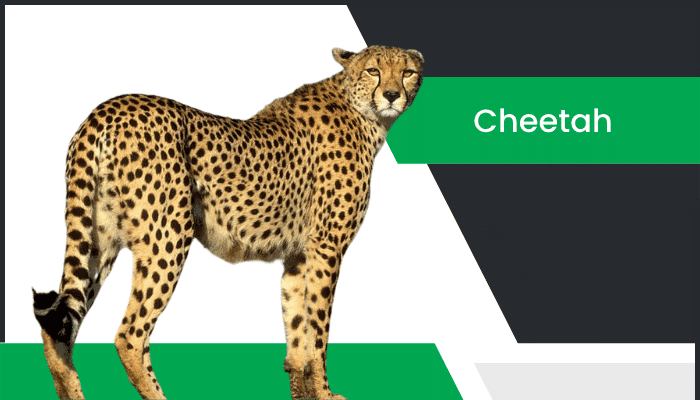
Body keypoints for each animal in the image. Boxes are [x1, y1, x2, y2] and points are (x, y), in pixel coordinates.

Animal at [32, 45, 423, 400]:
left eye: (407, 72)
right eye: (373, 70)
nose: (392, 95)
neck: (363, 112)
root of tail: (106, 108)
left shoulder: (297, 256)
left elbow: (297, 331)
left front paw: (305, 390)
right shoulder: (326, 247)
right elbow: (318, 331)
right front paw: (326, 393)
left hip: (97, 241)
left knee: (59, 331)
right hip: (168, 234)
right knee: (129, 334)